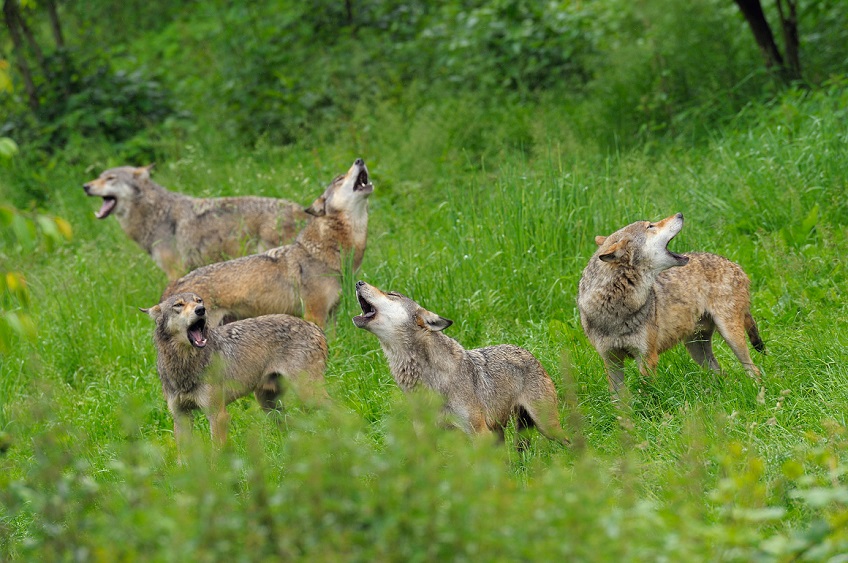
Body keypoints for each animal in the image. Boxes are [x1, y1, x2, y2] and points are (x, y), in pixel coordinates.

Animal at [80, 165, 308, 282]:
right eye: (99, 177)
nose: (85, 187)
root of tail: (300, 210)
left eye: (111, 178)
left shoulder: (175, 272)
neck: (156, 213)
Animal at [141, 294, 326, 456]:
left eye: (199, 300)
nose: (201, 310)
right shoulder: (181, 416)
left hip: (307, 395)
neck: (185, 365)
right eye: (178, 305)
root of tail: (314, 326)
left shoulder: (217, 415)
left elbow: (216, 453)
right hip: (269, 404)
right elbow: (183, 457)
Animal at [352, 280, 568, 448]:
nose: (358, 282)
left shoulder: (479, 433)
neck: (429, 380)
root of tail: (527, 352)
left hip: (546, 426)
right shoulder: (426, 437)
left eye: (392, 294)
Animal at [576, 212, 768, 396]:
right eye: (650, 226)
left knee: (754, 370)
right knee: (721, 373)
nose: (680, 214)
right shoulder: (611, 360)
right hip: (696, 348)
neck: (614, 307)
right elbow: (618, 399)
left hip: (730, 336)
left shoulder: (647, 358)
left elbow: (649, 395)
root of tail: (734, 264)